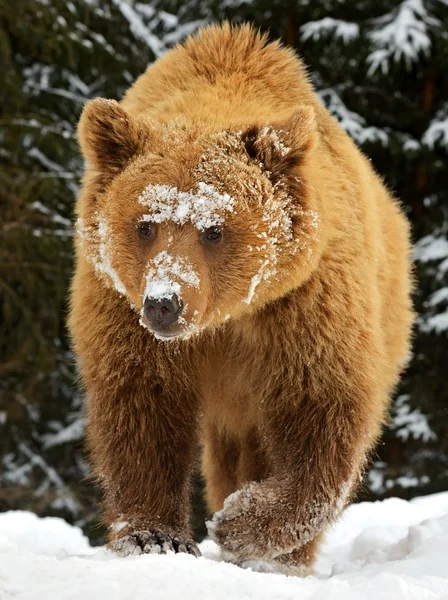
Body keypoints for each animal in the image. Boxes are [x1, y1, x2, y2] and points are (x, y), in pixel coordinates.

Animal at [70, 24, 412, 576]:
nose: (165, 303)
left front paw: (242, 526)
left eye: (214, 230)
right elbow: (142, 410)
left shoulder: (302, 307)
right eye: (145, 225)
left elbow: (320, 410)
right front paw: (155, 537)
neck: (225, 320)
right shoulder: (120, 312)